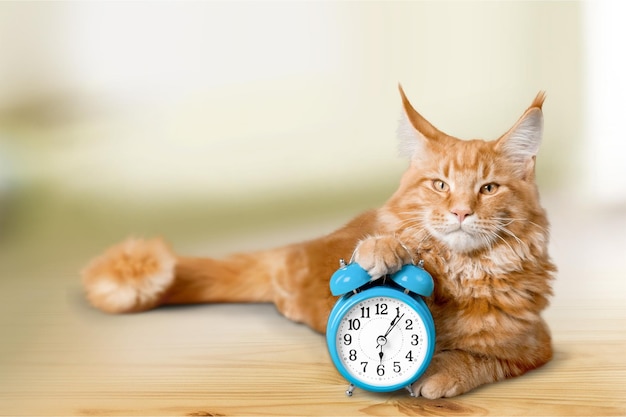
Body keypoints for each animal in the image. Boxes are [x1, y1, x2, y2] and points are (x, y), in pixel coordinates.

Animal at [80, 86, 552, 398]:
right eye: (440, 185)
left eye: (488, 189)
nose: (460, 212)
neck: (461, 272)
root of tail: (290, 247)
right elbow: (390, 246)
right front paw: (384, 252)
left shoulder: (533, 347)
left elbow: (479, 359)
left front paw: (437, 373)